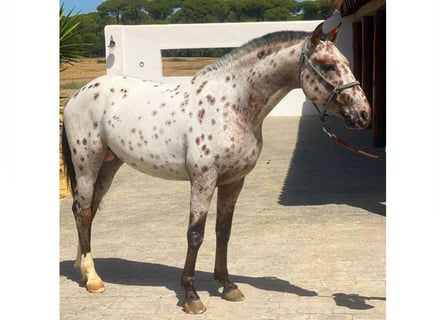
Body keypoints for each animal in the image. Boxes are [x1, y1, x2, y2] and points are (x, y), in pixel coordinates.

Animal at [60, 22, 370, 316]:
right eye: (328, 65)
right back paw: (93, 279)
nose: (363, 114)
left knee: (88, 211)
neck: (230, 105)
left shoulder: (234, 181)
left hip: (109, 166)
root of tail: (79, 93)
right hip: (87, 163)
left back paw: (83, 267)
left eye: (346, 62)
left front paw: (228, 285)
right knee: (82, 210)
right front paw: (191, 297)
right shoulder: (203, 180)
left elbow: (224, 230)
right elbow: (195, 234)